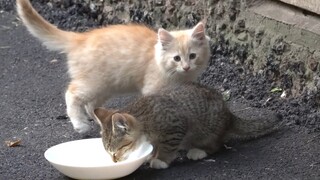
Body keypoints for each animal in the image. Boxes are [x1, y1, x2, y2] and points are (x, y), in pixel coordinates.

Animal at [16, 0, 210, 134]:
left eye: (192, 56)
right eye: (176, 58)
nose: (186, 67)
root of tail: (81, 38)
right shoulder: (153, 87)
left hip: (106, 86)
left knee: (91, 105)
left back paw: (102, 123)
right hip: (93, 83)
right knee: (71, 94)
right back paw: (80, 124)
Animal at [94, 82, 278, 169]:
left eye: (116, 151)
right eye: (109, 152)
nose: (114, 160)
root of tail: (229, 115)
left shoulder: (175, 127)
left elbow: (167, 147)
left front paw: (161, 160)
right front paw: (150, 155)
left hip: (208, 129)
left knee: (217, 144)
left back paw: (199, 151)